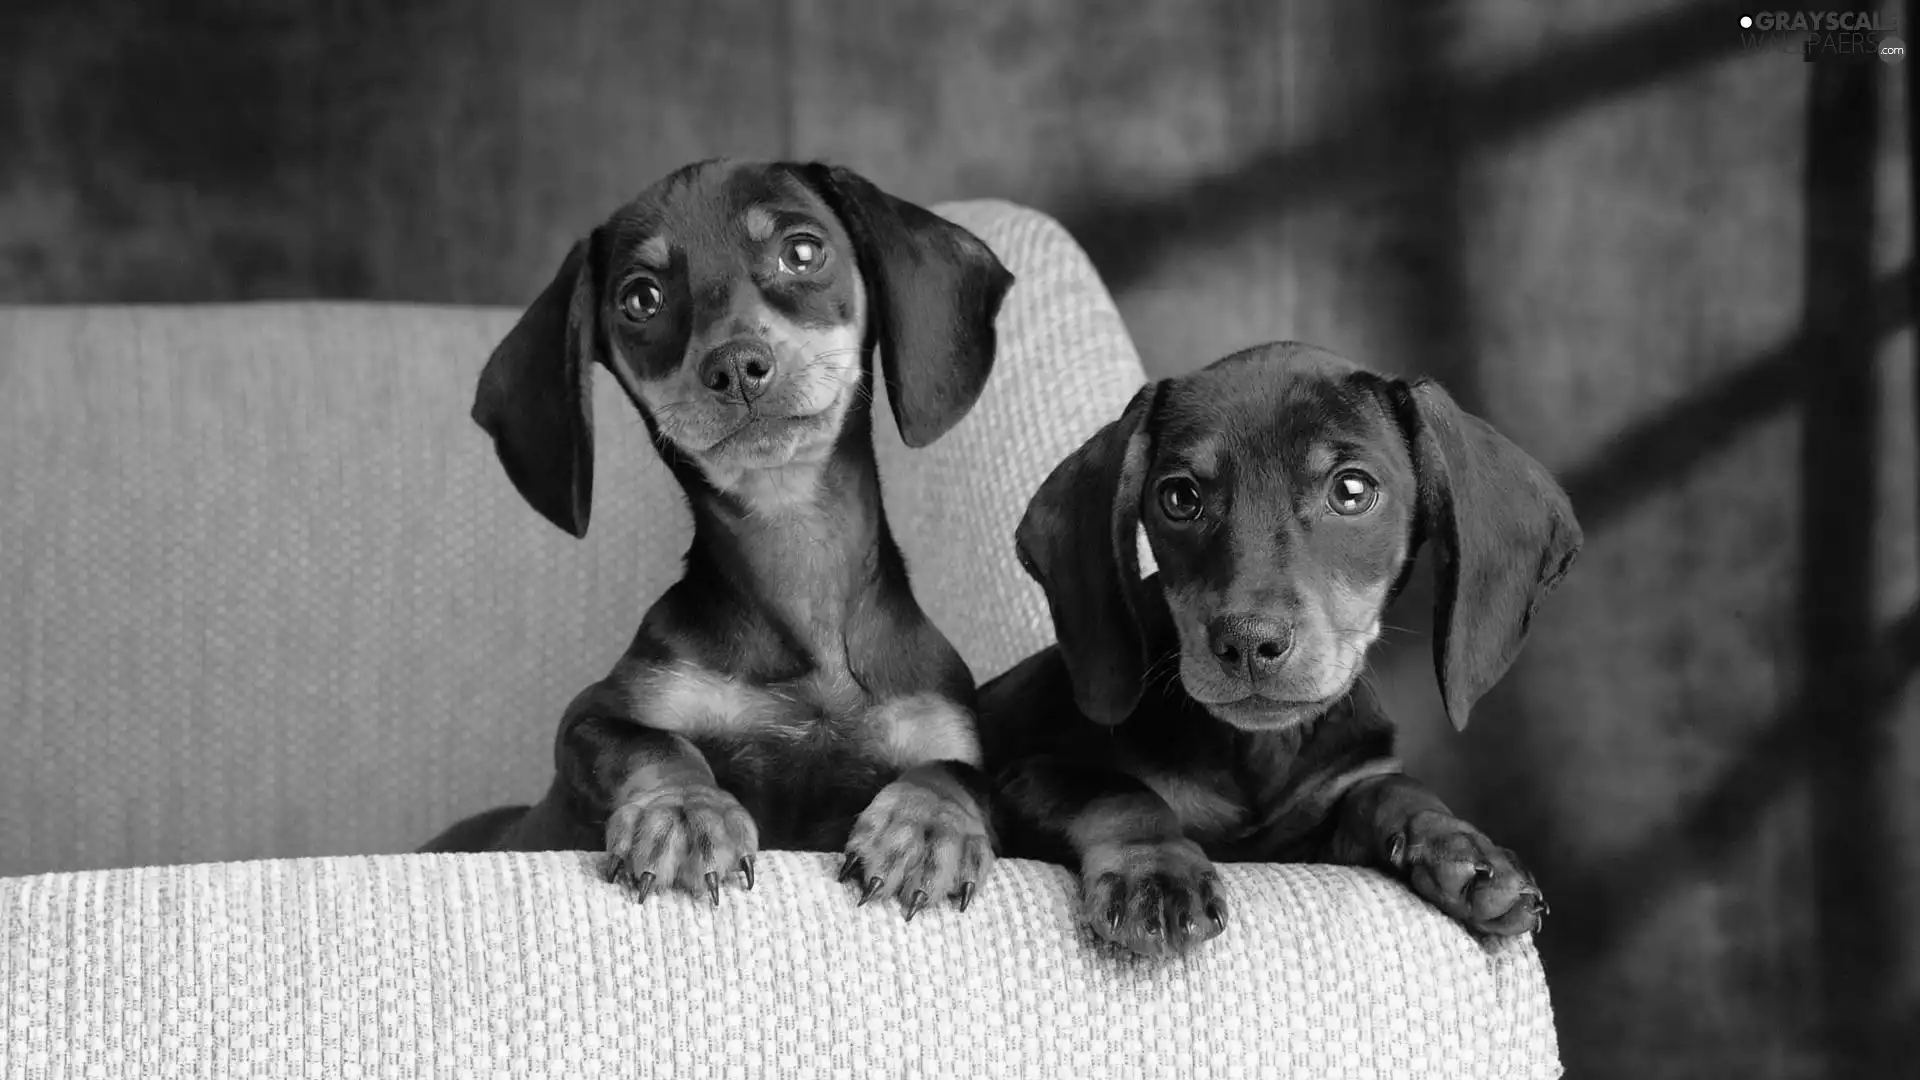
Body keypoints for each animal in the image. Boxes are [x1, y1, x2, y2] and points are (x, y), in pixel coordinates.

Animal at [424, 159, 1021, 914]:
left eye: (803, 251)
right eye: (640, 298)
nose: (736, 366)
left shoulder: (948, 729)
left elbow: (958, 774)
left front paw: (926, 825)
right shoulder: (594, 718)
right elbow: (654, 746)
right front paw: (685, 811)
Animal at [983, 340, 1582, 953]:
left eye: (1351, 491)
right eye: (1179, 497)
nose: (1249, 641)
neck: (1255, 750)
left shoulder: (1320, 820)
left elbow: (1393, 787)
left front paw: (1461, 847)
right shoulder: (1023, 779)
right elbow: (1116, 790)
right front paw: (1152, 869)